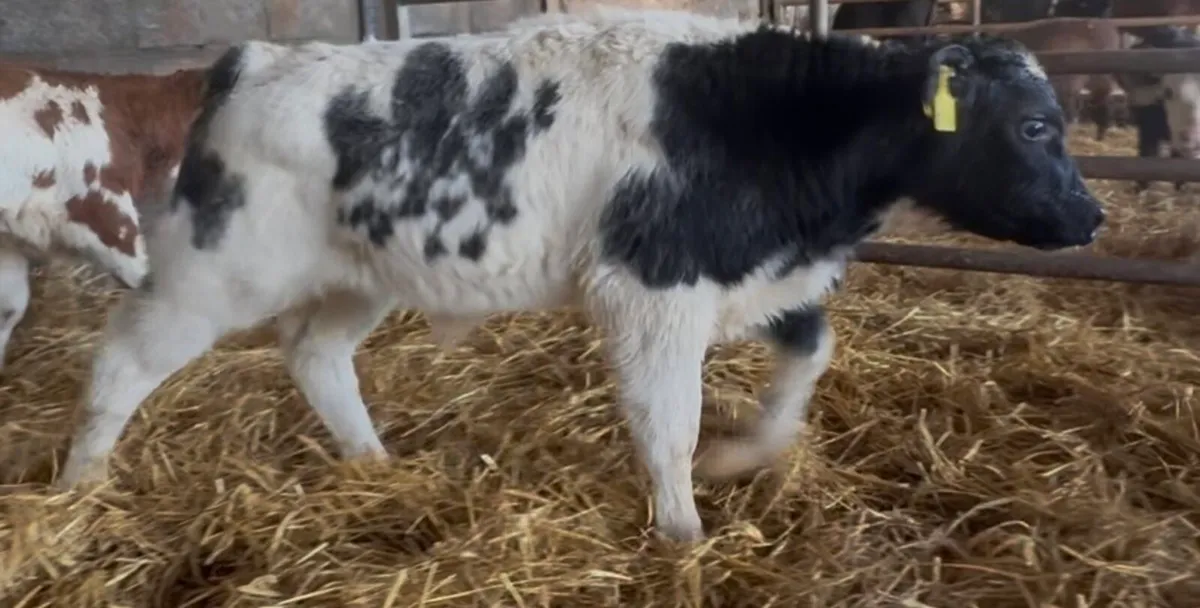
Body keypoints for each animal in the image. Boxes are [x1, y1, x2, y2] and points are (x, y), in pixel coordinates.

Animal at [52, 7, 1105, 543]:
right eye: (1034, 126)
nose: (1092, 217)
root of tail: (253, 59)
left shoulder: (739, 271)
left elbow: (808, 355)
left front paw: (745, 457)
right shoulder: (651, 288)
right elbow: (666, 421)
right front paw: (683, 534)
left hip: (365, 272)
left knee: (314, 354)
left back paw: (375, 464)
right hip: (210, 271)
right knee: (121, 364)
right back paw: (74, 486)